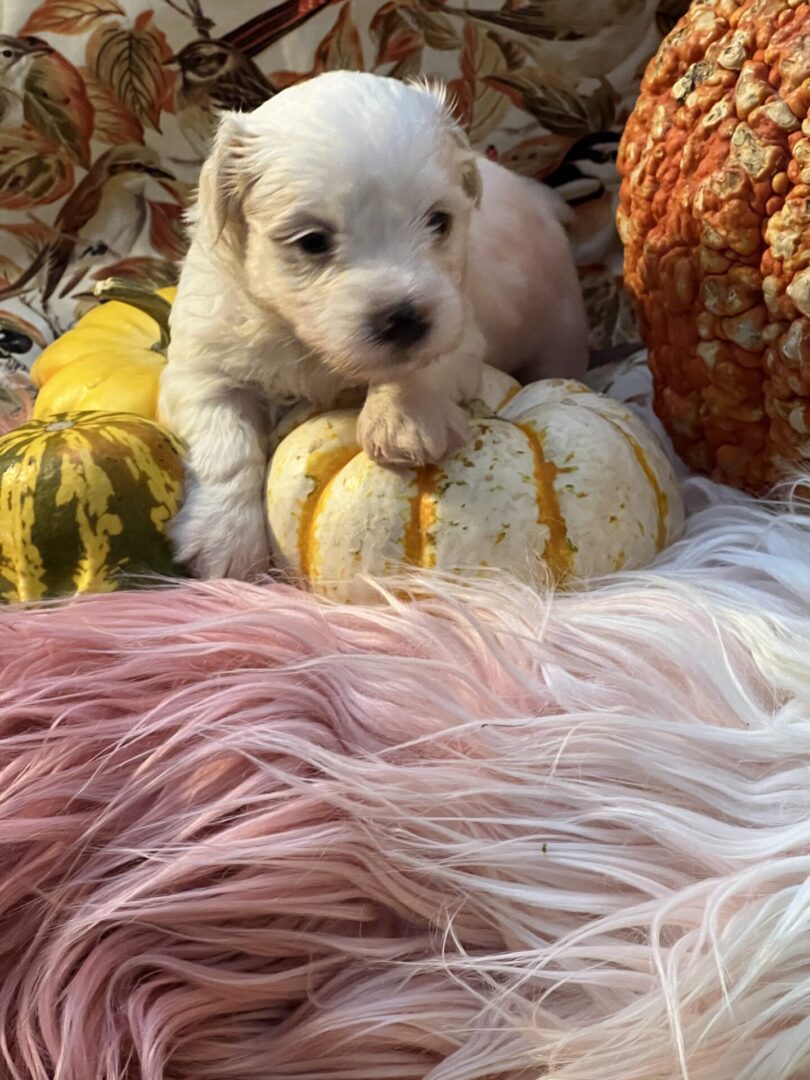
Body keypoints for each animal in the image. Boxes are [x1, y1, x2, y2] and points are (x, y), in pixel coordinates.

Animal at [159, 70, 591, 578]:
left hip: (561, 333)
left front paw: (401, 419)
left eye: (438, 221)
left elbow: (424, 362)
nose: (404, 319)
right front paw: (225, 539)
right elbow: (226, 443)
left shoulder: (459, 322)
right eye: (312, 241)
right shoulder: (200, 367)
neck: (304, 341)